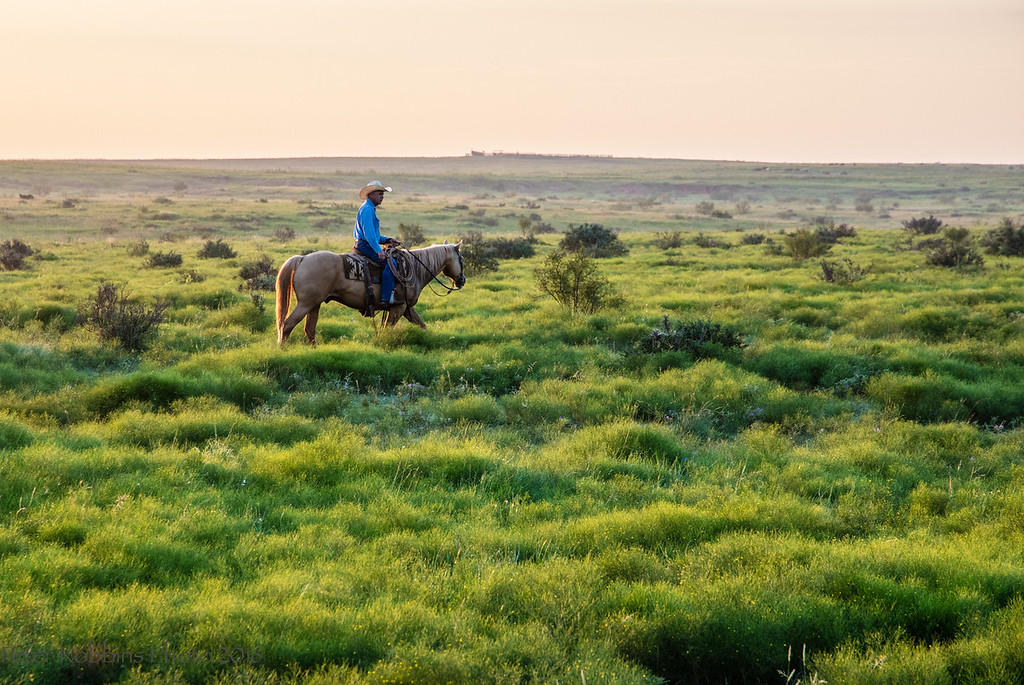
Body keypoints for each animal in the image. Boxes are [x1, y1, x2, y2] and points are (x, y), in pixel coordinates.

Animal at [272, 242, 464, 344]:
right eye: (461, 259)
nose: (462, 280)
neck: (415, 269)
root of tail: (302, 258)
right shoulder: (399, 308)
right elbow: (387, 329)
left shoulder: (407, 309)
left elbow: (422, 325)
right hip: (305, 304)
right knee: (287, 325)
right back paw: (283, 349)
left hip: (314, 304)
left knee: (309, 329)